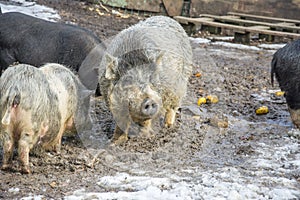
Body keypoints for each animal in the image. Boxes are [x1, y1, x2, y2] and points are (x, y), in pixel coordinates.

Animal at [98, 15, 192, 144]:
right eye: (127, 82)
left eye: (151, 80)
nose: (149, 101)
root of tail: (171, 19)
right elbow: (121, 122)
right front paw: (115, 141)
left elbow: (147, 120)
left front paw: (143, 136)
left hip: (181, 82)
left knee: (173, 106)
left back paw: (167, 126)